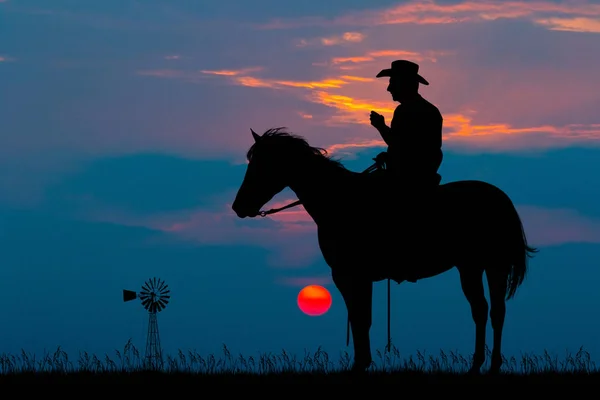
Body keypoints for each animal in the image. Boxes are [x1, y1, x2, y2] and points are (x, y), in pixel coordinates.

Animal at [232, 127, 536, 376]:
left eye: (261, 164)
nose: (239, 206)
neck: (339, 201)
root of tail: (500, 199)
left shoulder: (351, 275)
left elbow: (360, 318)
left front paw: (360, 364)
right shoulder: (353, 276)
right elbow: (360, 317)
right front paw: (361, 362)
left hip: (488, 265)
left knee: (492, 311)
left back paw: (487, 365)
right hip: (475, 267)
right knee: (485, 310)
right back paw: (480, 365)